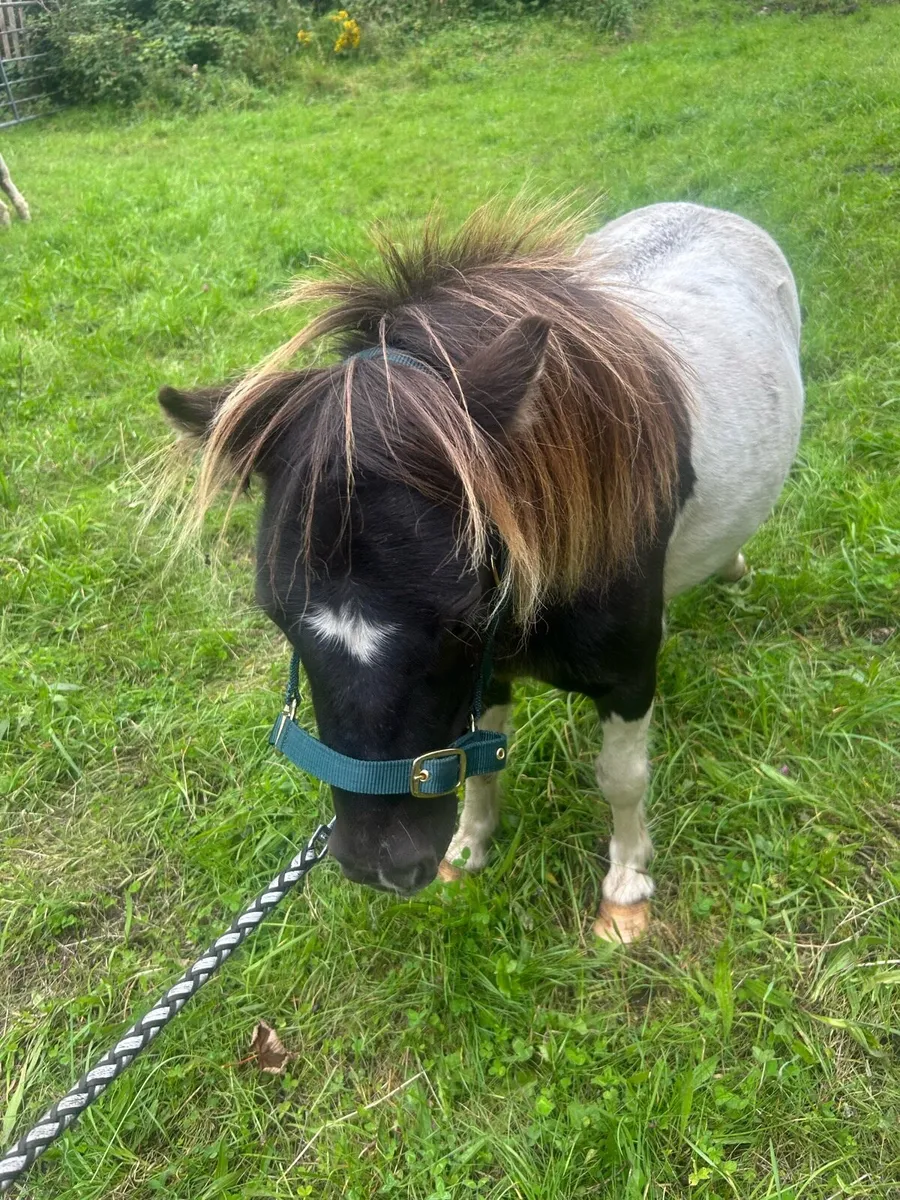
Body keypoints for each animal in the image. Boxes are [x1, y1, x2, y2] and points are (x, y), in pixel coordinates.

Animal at [158, 200, 804, 942]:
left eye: (463, 613)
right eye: (276, 611)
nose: (379, 863)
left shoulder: (626, 674)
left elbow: (622, 777)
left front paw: (626, 886)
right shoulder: (487, 674)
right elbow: (479, 761)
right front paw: (469, 847)